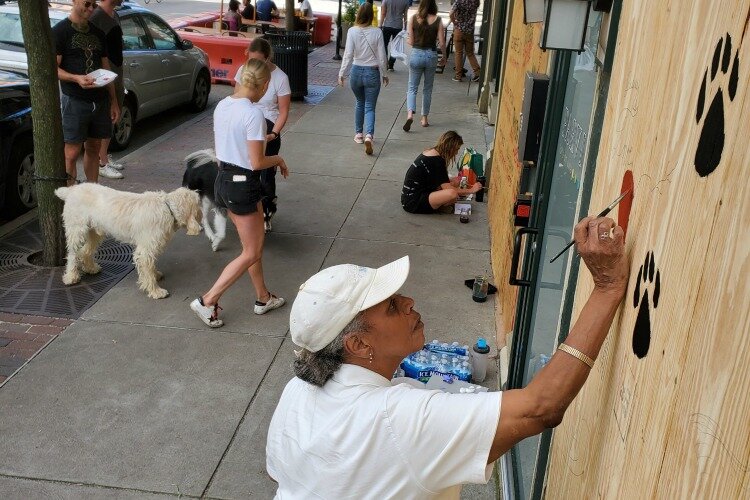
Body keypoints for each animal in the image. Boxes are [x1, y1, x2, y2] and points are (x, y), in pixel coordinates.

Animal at [55, 184, 203, 300]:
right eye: (197, 209)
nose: (202, 226)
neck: (167, 208)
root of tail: (72, 190)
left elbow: (150, 266)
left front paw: (155, 275)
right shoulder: (145, 250)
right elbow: (147, 268)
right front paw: (155, 291)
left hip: (94, 232)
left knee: (86, 251)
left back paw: (91, 268)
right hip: (77, 231)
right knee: (73, 254)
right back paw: (71, 276)